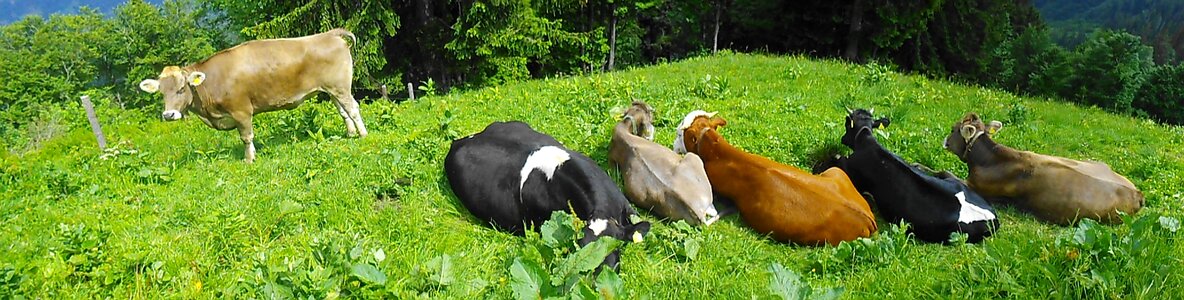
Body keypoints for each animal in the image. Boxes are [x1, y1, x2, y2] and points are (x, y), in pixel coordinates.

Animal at [136, 28, 364, 161]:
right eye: (161, 92)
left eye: (182, 88)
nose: (169, 115)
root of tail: (330, 34)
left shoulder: (241, 111)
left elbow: (246, 136)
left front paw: (249, 159)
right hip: (332, 90)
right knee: (344, 112)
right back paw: (351, 133)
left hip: (340, 86)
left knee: (353, 108)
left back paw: (363, 134)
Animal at [819, 109, 1004, 243]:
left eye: (847, 124)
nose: (843, 139)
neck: (866, 141)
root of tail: (993, 218)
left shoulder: (851, 171)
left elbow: (834, 160)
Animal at [937, 113, 1141, 225]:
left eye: (953, 129)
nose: (945, 140)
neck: (990, 160)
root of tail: (1138, 193)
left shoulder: (978, 187)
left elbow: (945, 173)